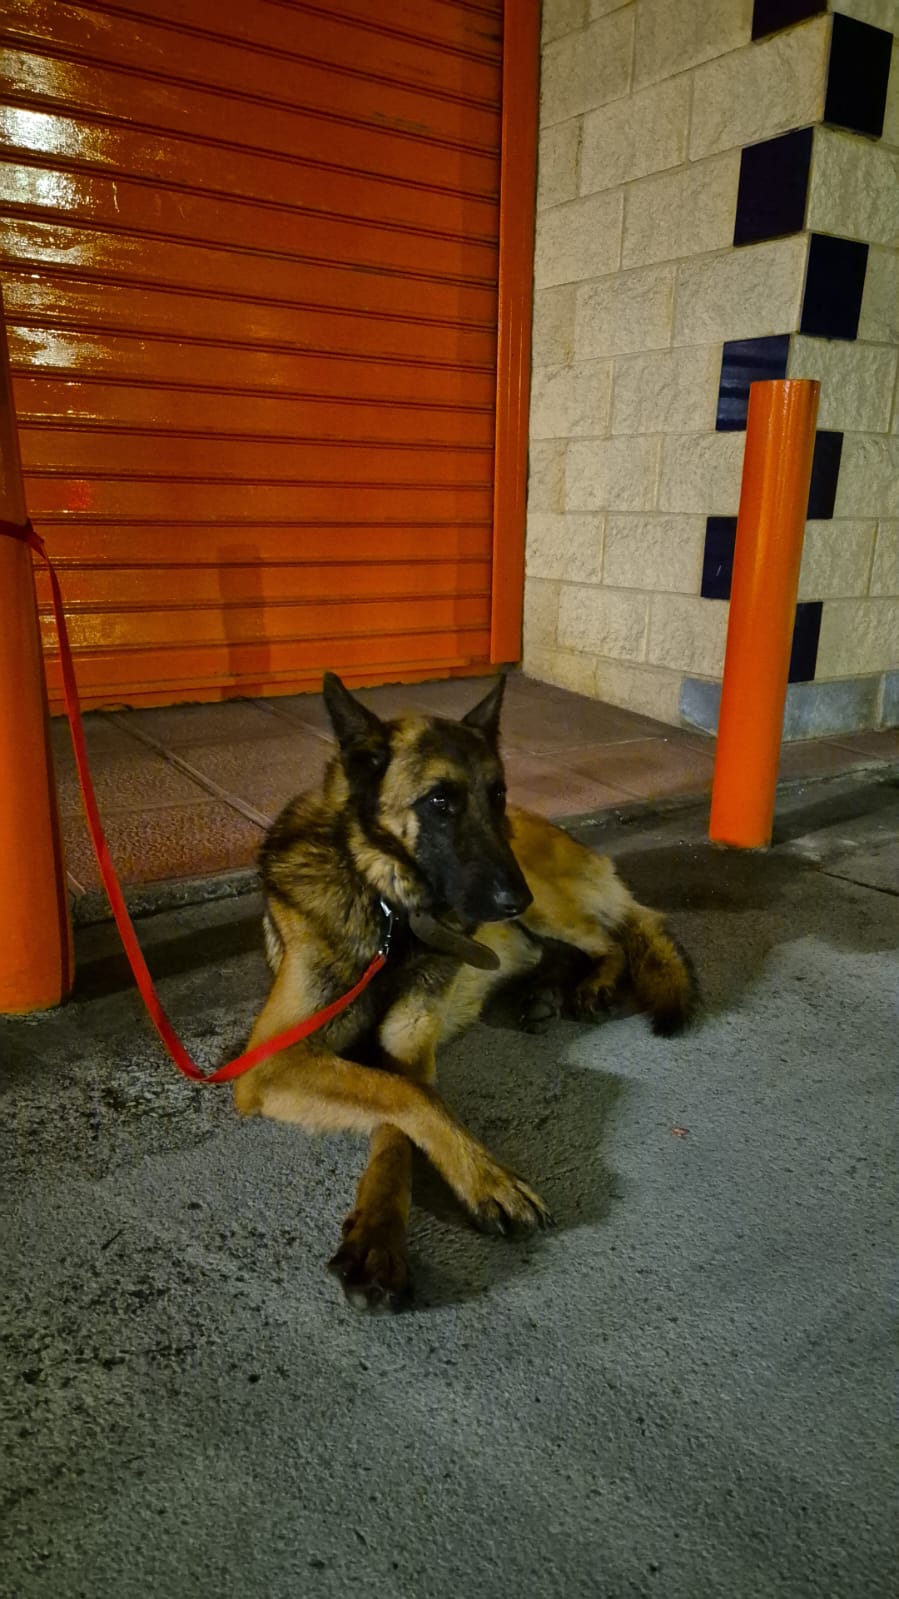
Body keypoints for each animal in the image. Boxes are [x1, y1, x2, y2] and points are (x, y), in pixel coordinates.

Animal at [235, 672, 696, 1309]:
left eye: (495, 794)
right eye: (440, 802)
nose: (514, 899)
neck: (389, 910)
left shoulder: (407, 1044)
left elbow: (408, 1111)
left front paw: (432, 1205)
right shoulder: (275, 1059)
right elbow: (405, 1103)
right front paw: (401, 1225)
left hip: (552, 903)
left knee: (617, 936)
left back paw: (592, 985)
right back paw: (544, 992)